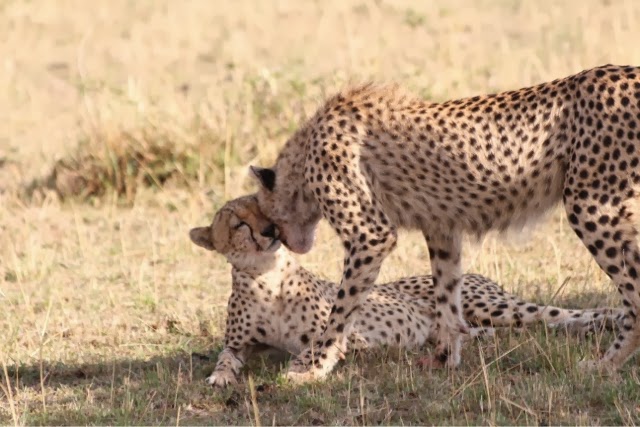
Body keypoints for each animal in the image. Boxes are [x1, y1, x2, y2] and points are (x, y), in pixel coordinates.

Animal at [189, 195, 622, 387]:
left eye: (265, 212)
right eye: (238, 222)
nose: (268, 231)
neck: (267, 276)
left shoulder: (341, 334)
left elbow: (321, 347)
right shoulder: (239, 343)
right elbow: (225, 358)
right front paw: (219, 377)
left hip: (499, 306)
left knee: (564, 315)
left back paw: (609, 322)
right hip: (484, 321)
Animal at [249, 64, 640, 382]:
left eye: (270, 224)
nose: (287, 242)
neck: (304, 154)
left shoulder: (371, 235)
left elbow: (341, 309)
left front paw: (314, 367)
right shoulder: (442, 227)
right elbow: (447, 293)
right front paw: (444, 358)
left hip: (592, 208)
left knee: (633, 297)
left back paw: (606, 364)